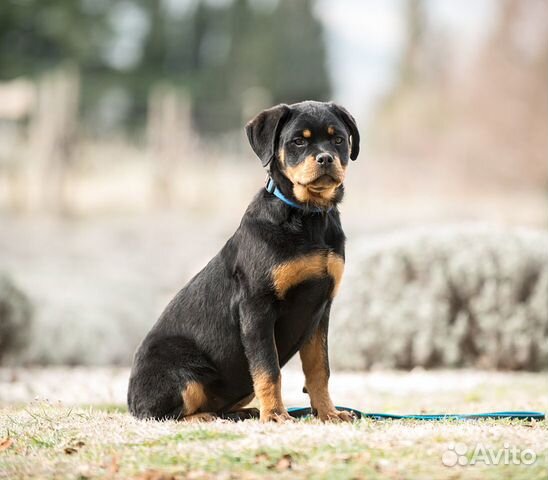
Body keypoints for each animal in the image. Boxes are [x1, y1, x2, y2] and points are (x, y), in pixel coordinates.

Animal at [128, 100, 360, 420]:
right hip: (182, 370)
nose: (325, 158)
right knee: (163, 413)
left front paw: (328, 414)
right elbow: (268, 369)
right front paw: (275, 415)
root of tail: (130, 399)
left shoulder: (320, 308)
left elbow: (318, 369)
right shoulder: (256, 306)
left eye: (338, 139)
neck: (307, 215)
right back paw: (207, 416)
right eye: (298, 141)